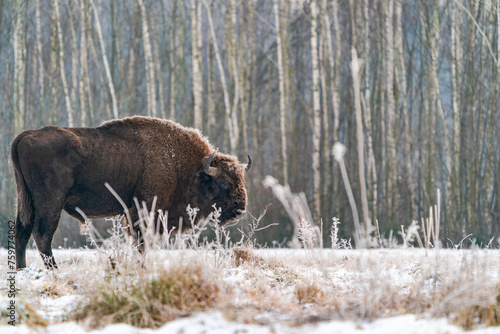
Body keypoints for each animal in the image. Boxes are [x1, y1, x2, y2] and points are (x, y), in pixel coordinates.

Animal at [11, 116, 252, 270]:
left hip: (25, 201)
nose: (240, 211)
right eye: (223, 183)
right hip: (50, 203)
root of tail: (25, 137)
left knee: (22, 232)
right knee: (42, 234)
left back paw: (21, 269)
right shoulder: (143, 211)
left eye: (242, 179)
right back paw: (54, 270)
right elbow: (141, 243)